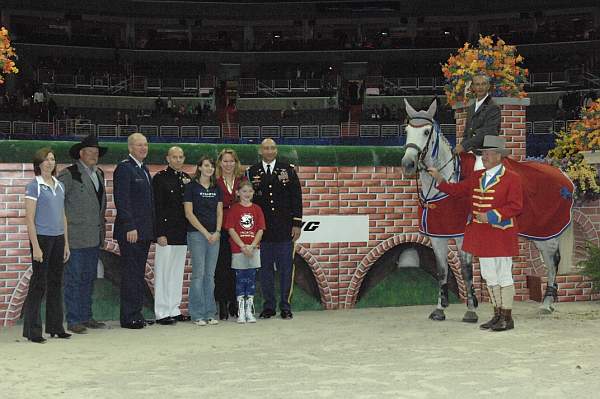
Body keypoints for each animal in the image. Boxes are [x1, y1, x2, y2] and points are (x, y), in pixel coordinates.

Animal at [400, 100, 568, 322]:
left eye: (427, 131)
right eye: (407, 130)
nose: (408, 164)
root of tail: (562, 174)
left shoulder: (461, 237)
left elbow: (466, 271)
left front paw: (471, 309)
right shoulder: (437, 236)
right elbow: (442, 271)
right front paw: (440, 309)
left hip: (549, 232)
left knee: (553, 261)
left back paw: (547, 304)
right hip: (539, 234)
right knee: (549, 262)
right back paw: (548, 302)